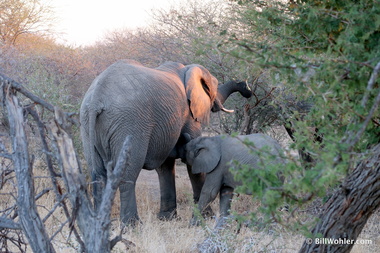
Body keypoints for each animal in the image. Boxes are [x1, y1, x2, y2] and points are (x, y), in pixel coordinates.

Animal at [80, 59, 252, 225]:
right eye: (212, 88)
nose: (246, 87)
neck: (188, 69)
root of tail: (96, 99)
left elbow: (166, 166)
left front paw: (167, 218)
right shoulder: (189, 114)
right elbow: (193, 161)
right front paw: (207, 217)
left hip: (87, 125)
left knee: (98, 176)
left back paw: (100, 223)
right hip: (129, 124)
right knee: (126, 175)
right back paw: (133, 225)